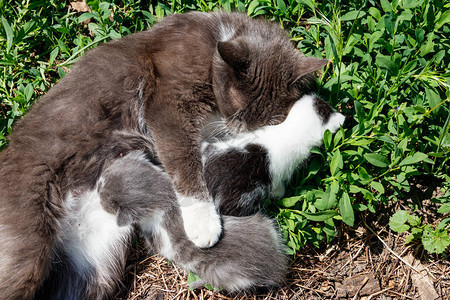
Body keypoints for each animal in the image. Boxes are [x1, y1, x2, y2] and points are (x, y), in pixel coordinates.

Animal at [0, 11, 326, 298]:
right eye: (238, 111)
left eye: (269, 119)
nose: (240, 128)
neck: (214, 42)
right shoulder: (168, 102)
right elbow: (183, 158)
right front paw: (203, 223)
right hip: (27, 248)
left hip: (96, 265)